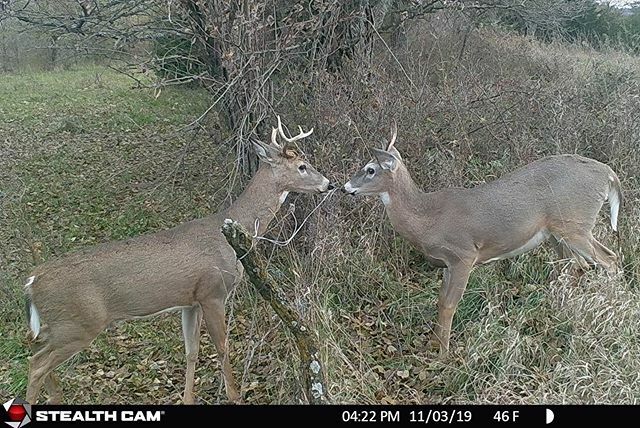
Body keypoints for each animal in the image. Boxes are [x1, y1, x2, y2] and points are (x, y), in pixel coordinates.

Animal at [23, 117, 332, 404]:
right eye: (302, 166)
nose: (329, 184)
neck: (230, 227)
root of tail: (32, 281)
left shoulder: (191, 300)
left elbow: (191, 351)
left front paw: (188, 398)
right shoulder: (213, 292)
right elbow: (222, 347)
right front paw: (234, 395)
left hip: (59, 325)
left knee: (35, 349)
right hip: (79, 324)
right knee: (36, 365)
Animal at [343, 124, 621, 354]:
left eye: (370, 169)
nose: (345, 187)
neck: (428, 218)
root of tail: (608, 173)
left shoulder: (464, 255)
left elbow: (449, 305)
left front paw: (443, 356)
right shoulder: (448, 263)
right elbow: (440, 301)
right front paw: (434, 345)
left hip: (575, 225)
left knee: (610, 259)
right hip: (557, 233)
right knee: (578, 265)